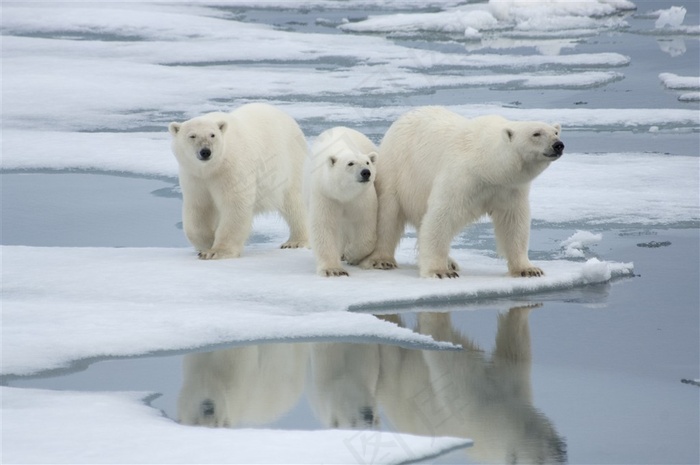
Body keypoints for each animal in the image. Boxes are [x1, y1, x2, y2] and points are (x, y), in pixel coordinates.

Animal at [168, 103, 308, 260]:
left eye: (212, 135)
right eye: (192, 136)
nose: (205, 151)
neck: (212, 168)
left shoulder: (232, 169)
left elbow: (235, 205)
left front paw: (216, 251)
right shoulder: (194, 177)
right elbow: (199, 209)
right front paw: (207, 244)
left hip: (290, 163)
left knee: (294, 202)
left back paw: (295, 242)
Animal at [308, 126, 380, 276]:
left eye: (367, 162)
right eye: (350, 163)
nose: (366, 172)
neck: (343, 194)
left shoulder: (362, 198)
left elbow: (365, 228)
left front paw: (350, 255)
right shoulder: (325, 194)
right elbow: (324, 226)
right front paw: (333, 270)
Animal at [360, 107, 564, 278]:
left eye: (555, 132)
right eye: (536, 133)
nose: (558, 145)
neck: (487, 165)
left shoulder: (509, 188)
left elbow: (513, 222)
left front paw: (529, 269)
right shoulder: (462, 176)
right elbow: (442, 215)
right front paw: (440, 271)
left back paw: (450, 262)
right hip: (397, 169)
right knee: (388, 215)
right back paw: (381, 260)